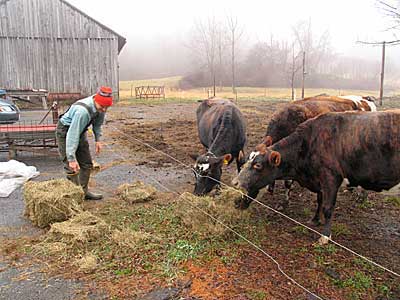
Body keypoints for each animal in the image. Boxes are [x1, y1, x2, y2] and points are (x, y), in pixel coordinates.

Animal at [233, 110, 400, 244]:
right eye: (245, 162)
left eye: (258, 165)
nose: (235, 182)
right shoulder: (320, 180)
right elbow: (319, 200)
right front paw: (315, 219)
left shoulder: (330, 178)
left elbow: (328, 207)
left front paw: (325, 236)